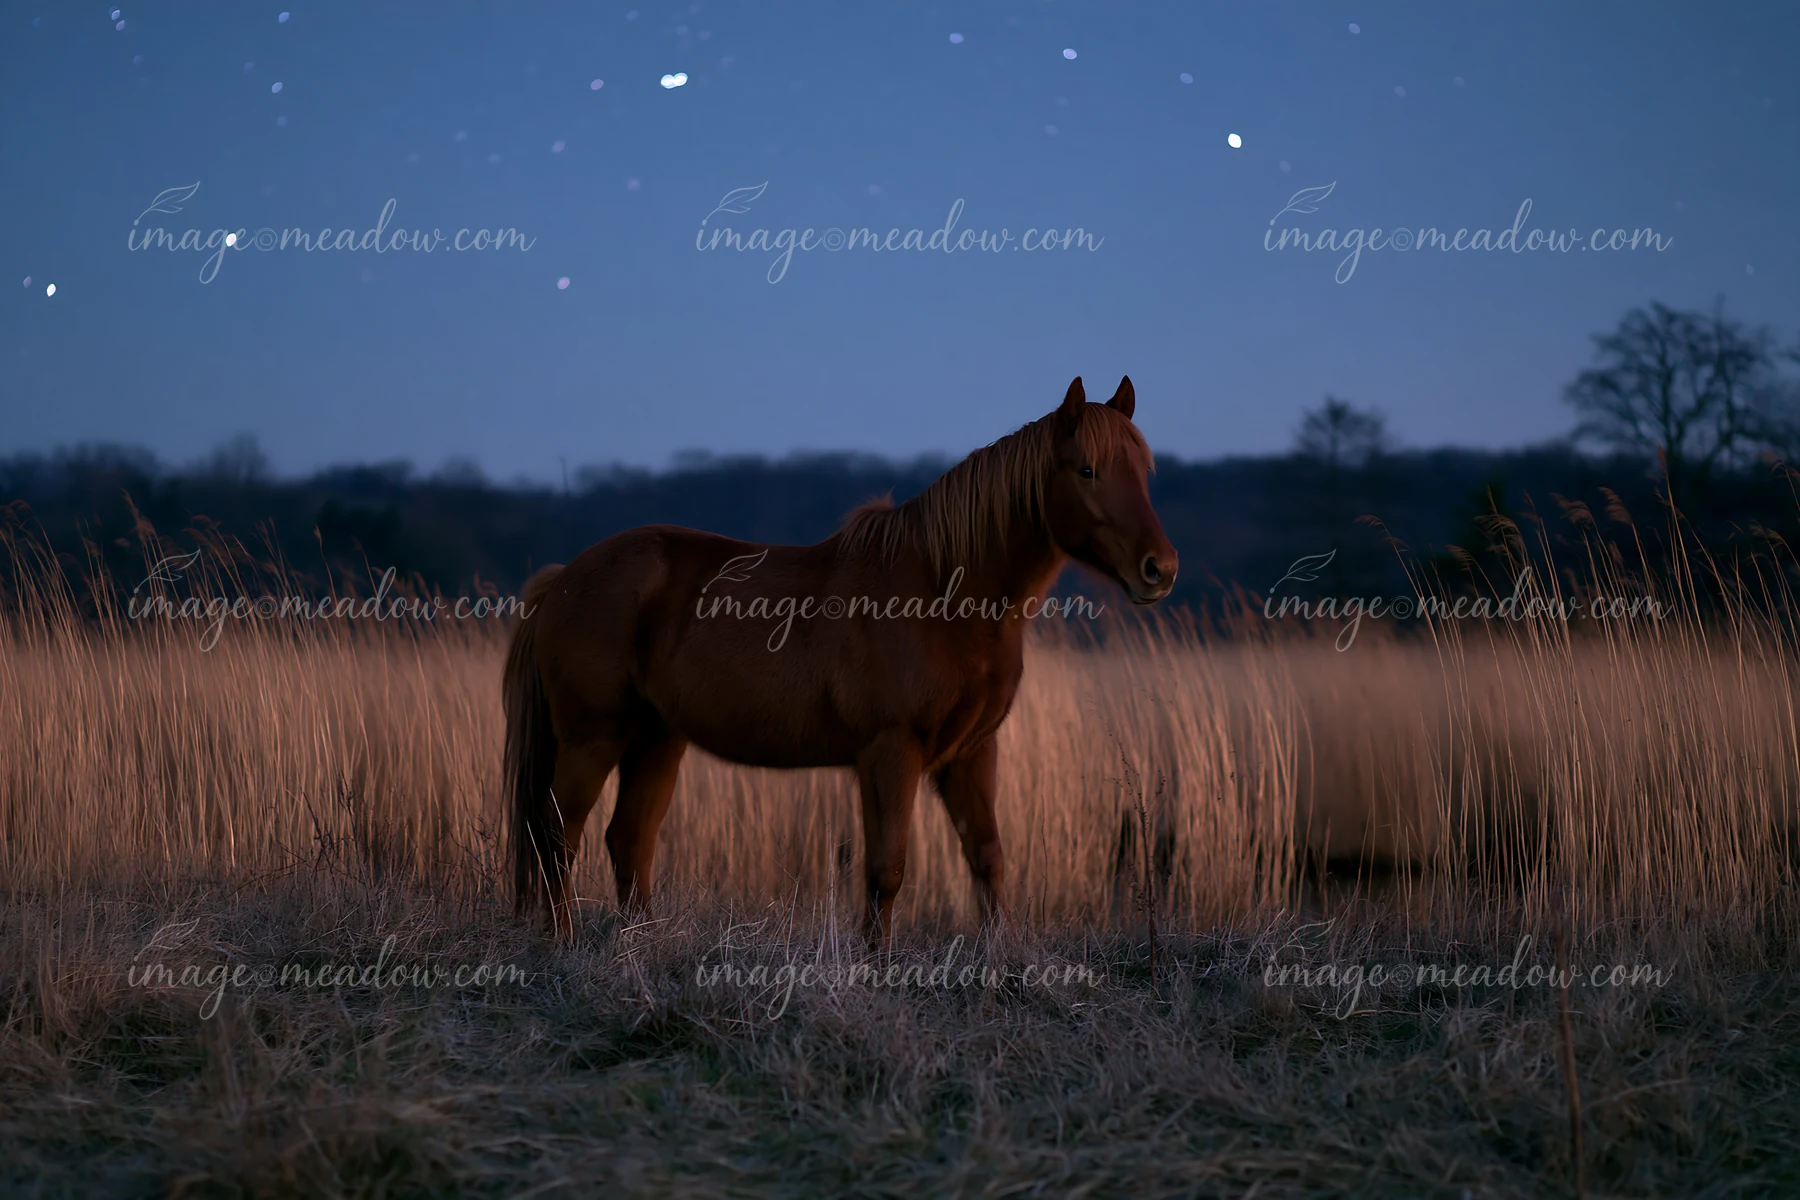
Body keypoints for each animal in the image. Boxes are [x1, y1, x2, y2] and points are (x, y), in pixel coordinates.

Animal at [503, 375, 1178, 941]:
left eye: (1145, 471)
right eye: (1087, 469)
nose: (1160, 569)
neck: (943, 593)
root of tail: (564, 579)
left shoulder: (971, 753)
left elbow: (987, 859)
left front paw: (1002, 964)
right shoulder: (890, 752)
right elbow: (887, 869)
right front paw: (876, 968)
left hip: (657, 737)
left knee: (628, 840)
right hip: (594, 737)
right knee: (558, 835)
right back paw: (565, 945)